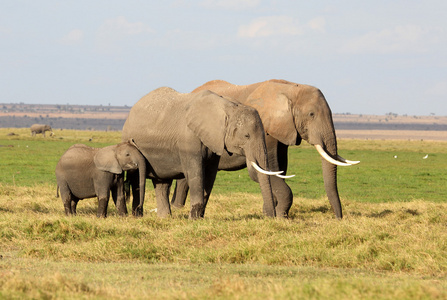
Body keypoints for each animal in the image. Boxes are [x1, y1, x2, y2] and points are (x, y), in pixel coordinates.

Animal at [121, 86, 278, 218]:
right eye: (247, 136)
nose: (270, 217)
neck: (227, 106)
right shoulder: (188, 140)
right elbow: (196, 174)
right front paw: (194, 220)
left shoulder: (214, 142)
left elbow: (209, 175)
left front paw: (199, 218)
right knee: (137, 179)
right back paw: (138, 216)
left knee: (162, 184)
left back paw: (164, 218)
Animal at [172, 79, 360, 219]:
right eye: (311, 114)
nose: (338, 218)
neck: (290, 88)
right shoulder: (266, 129)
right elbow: (265, 170)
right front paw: (279, 216)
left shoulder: (283, 130)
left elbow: (279, 169)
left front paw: (273, 213)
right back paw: (178, 209)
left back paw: (176, 208)